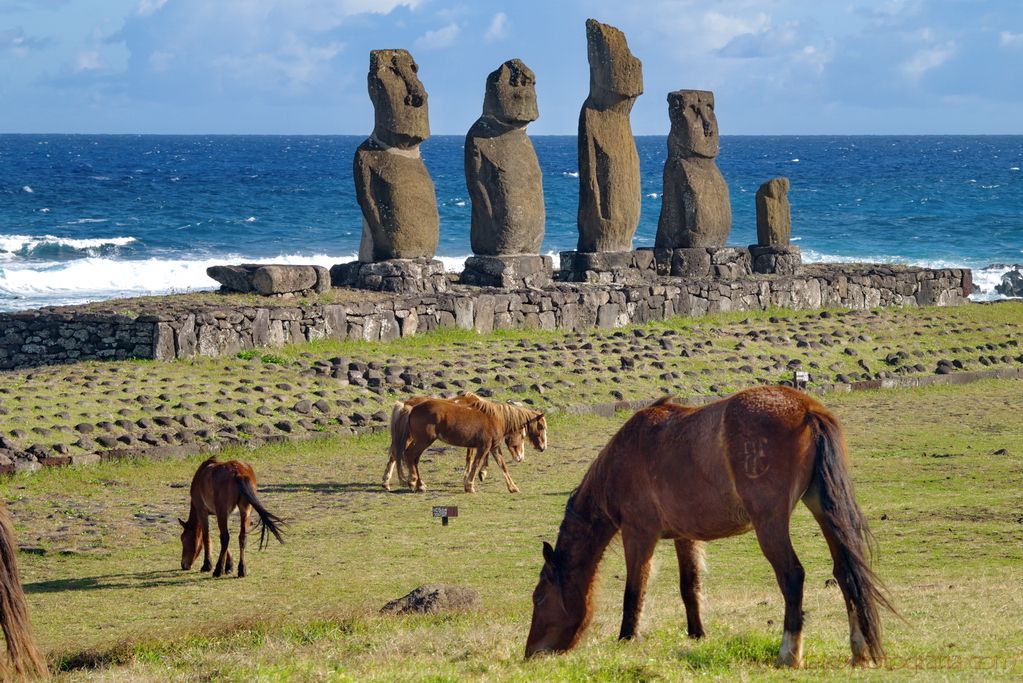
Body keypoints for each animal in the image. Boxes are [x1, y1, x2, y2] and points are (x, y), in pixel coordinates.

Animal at [392, 394, 552, 490]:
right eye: (541, 427)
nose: (543, 447)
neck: (496, 419)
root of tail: (412, 408)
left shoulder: (493, 447)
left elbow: (502, 465)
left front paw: (512, 487)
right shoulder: (484, 446)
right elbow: (476, 463)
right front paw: (469, 485)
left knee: (411, 458)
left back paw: (418, 484)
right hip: (423, 441)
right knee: (410, 455)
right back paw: (413, 482)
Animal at [527, 386, 896, 670]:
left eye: (539, 597)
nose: (530, 653)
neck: (625, 456)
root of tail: (808, 409)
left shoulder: (638, 535)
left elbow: (634, 591)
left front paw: (627, 638)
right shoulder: (684, 537)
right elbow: (689, 587)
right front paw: (697, 634)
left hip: (770, 523)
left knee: (792, 576)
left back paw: (788, 654)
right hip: (822, 508)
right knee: (846, 572)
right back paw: (860, 652)